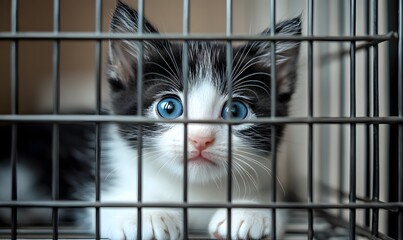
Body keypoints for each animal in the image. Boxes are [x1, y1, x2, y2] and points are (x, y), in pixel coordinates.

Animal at [0, 2, 302, 240]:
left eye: (236, 112)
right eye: (169, 107)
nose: (200, 139)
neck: (192, 191)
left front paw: (251, 211)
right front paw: (148, 215)